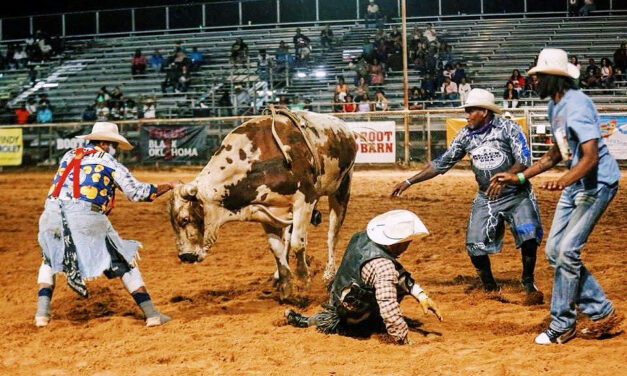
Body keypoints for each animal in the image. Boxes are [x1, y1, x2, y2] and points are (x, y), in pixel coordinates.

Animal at [168, 108, 358, 300]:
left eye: (184, 219)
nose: (185, 256)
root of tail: (344, 129)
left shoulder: (305, 201)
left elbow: (298, 243)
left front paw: (303, 282)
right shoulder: (265, 212)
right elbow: (277, 248)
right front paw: (286, 286)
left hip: (342, 189)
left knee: (332, 235)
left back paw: (329, 274)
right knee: (289, 237)